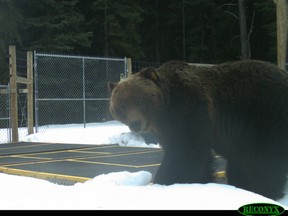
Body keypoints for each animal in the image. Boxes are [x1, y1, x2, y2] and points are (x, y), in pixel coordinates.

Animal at [107, 59, 288, 199]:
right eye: (122, 105)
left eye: (140, 100)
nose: (136, 124)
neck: (166, 107)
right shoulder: (167, 127)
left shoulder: (188, 109)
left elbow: (185, 152)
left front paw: (165, 180)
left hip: (263, 114)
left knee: (263, 158)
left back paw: (263, 190)